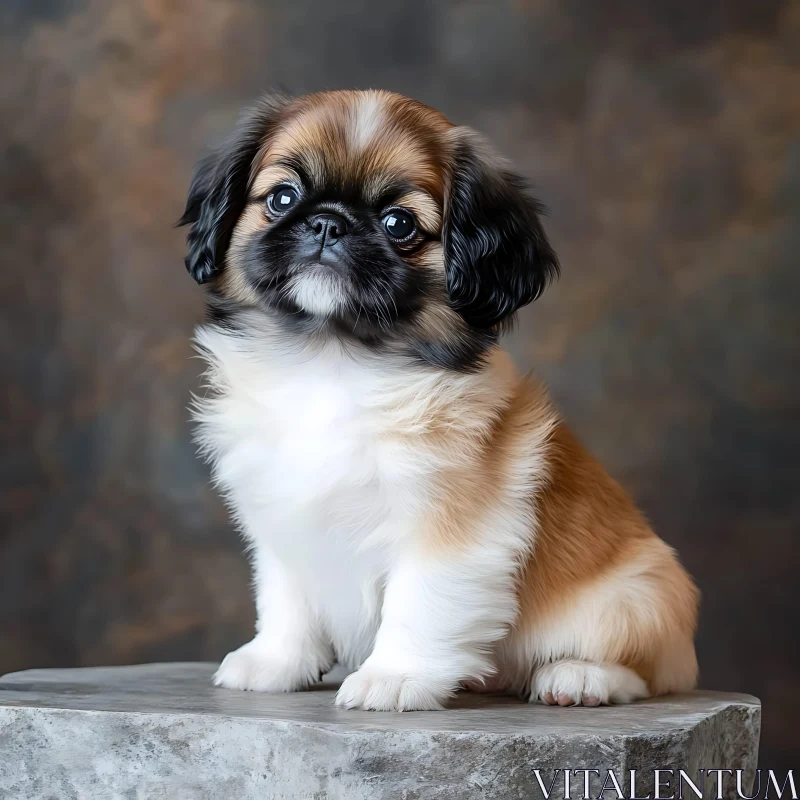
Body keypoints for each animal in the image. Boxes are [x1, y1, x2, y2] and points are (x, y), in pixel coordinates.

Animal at [178, 90, 696, 708]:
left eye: (399, 223)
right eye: (282, 198)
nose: (328, 223)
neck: (332, 361)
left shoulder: (450, 532)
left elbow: (418, 603)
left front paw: (395, 677)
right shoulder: (283, 520)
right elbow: (287, 599)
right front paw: (276, 662)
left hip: (633, 600)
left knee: (645, 674)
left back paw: (577, 677)